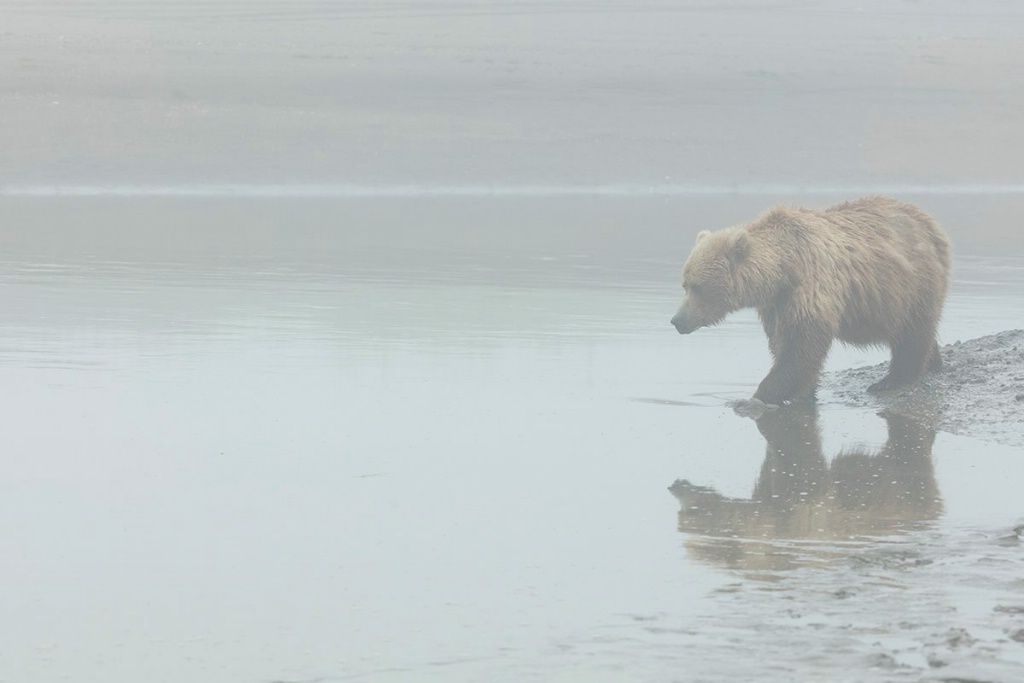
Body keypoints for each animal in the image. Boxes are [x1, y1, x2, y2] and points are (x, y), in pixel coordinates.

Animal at [671, 194, 950, 403]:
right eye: (685, 284)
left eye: (698, 287)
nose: (677, 320)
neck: (783, 270)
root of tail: (931, 223)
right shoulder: (776, 305)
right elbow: (782, 343)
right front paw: (803, 392)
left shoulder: (809, 288)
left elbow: (800, 347)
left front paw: (756, 397)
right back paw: (933, 362)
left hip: (912, 283)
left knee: (912, 332)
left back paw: (892, 380)